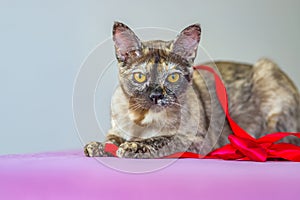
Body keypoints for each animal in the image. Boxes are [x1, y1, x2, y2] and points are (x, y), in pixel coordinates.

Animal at [84, 21, 300, 159]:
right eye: (140, 77)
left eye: (173, 77)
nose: (156, 95)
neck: (142, 120)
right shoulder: (116, 129)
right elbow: (112, 139)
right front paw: (98, 146)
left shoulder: (195, 140)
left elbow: (161, 139)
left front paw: (134, 146)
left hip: (267, 73)